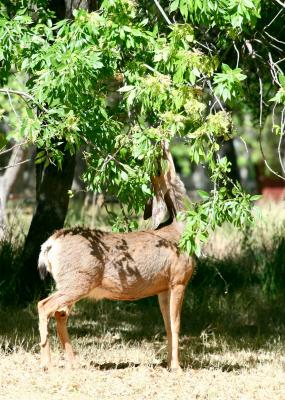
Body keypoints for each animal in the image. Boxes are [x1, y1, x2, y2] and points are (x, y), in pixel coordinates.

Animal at [36, 143, 194, 372]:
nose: (162, 141)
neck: (182, 230)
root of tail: (50, 243)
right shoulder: (179, 279)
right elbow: (176, 324)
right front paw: (177, 367)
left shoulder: (163, 287)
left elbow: (167, 325)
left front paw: (167, 363)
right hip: (78, 280)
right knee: (44, 306)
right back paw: (47, 363)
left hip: (72, 282)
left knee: (59, 313)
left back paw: (74, 363)